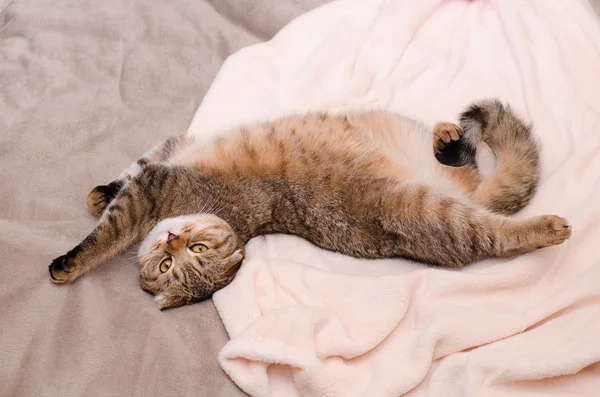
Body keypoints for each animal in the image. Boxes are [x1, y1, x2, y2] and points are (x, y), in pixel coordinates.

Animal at [48, 99, 572, 310]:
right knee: (471, 170)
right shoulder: (164, 156)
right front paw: (101, 192)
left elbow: (107, 232)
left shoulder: (155, 185)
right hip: (450, 186)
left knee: (497, 234)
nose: (172, 239)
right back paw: (448, 138)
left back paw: (547, 227)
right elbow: (128, 172)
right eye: (165, 265)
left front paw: (70, 261)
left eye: (194, 253)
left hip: (439, 215)